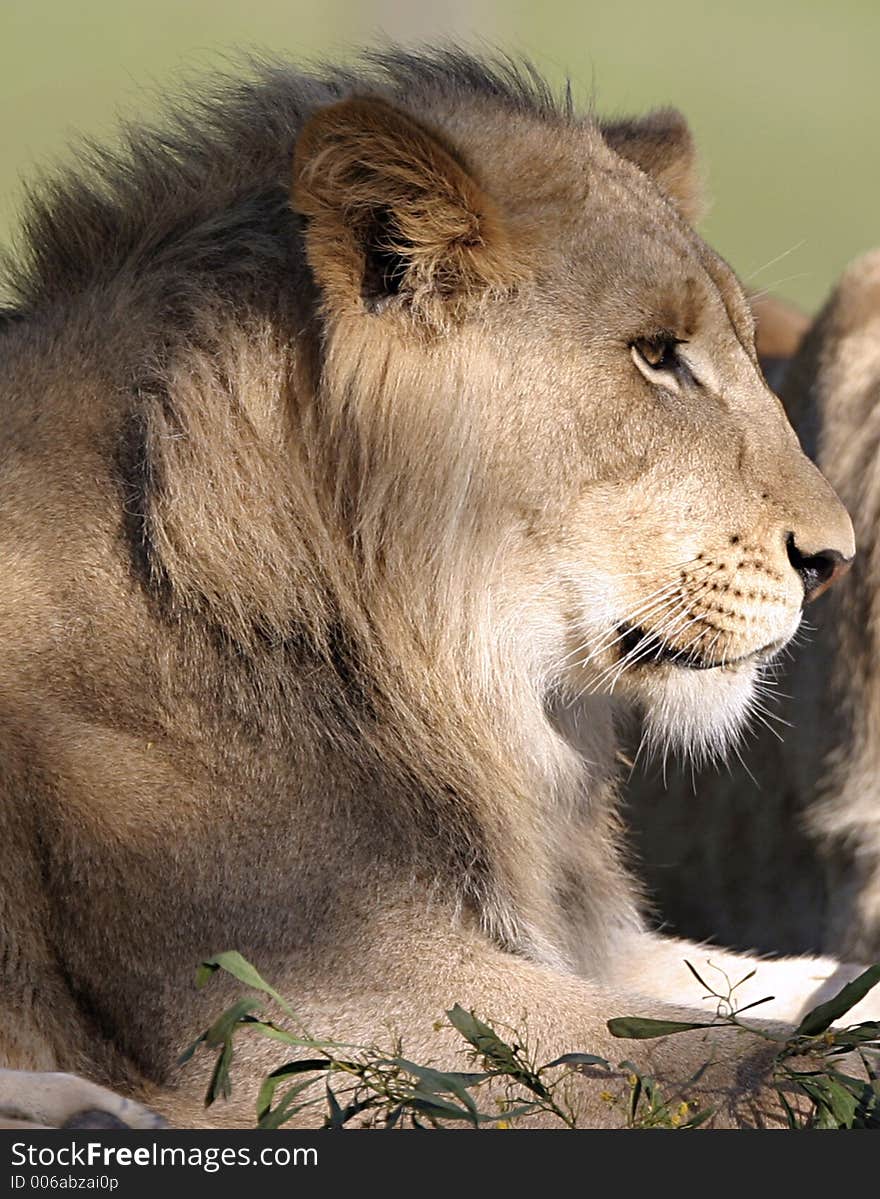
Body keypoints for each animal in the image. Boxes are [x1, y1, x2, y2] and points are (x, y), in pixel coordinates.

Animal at [0, 49, 877, 1131]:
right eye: (655, 354)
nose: (833, 558)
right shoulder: (301, 1004)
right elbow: (740, 1053)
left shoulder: (573, 936)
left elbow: (807, 989)